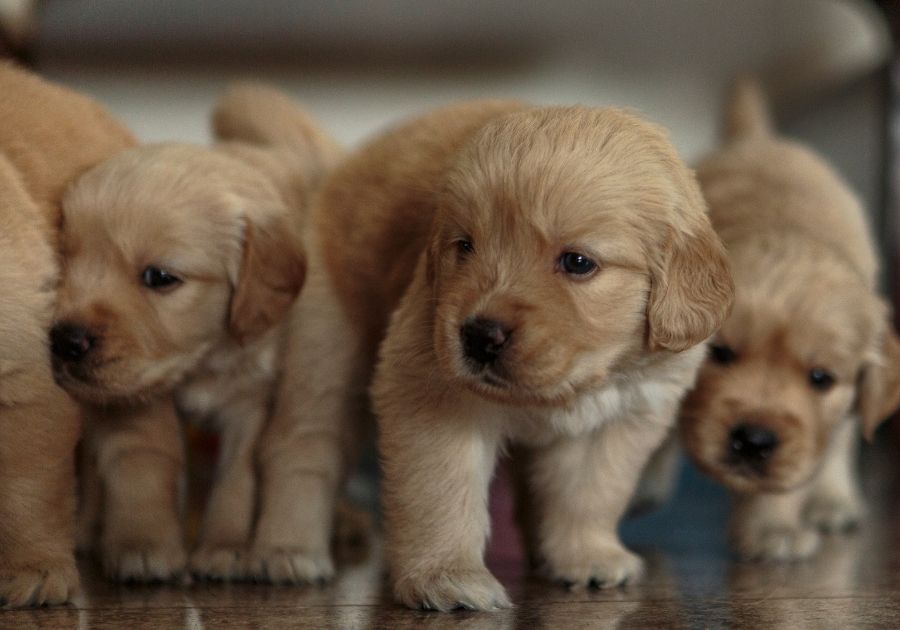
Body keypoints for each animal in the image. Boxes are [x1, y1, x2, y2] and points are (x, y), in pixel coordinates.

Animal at [51, 84, 342, 584]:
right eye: (65, 262)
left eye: (159, 277)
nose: (66, 341)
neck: (201, 361)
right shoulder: (132, 395)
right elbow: (144, 463)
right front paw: (143, 545)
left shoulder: (251, 399)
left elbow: (236, 478)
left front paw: (225, 547)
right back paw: (87, 530)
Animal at [292, 100, 736, 612]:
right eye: (465, 246)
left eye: (578, 263)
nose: (479, 336)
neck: (565, 389)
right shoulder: (430, 394)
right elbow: (440, 493)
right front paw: (446, 578)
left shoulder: (620, 419)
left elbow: (591, 493)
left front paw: (586, 557)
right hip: (323, 352)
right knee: (299, 456)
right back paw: (283, 556)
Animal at [680, 82, 900, 564]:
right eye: (720, 353)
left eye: (820, 378)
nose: (754, 440)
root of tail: (758, 137)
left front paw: (770, 528)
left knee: (843, 437)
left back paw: (833, 501)